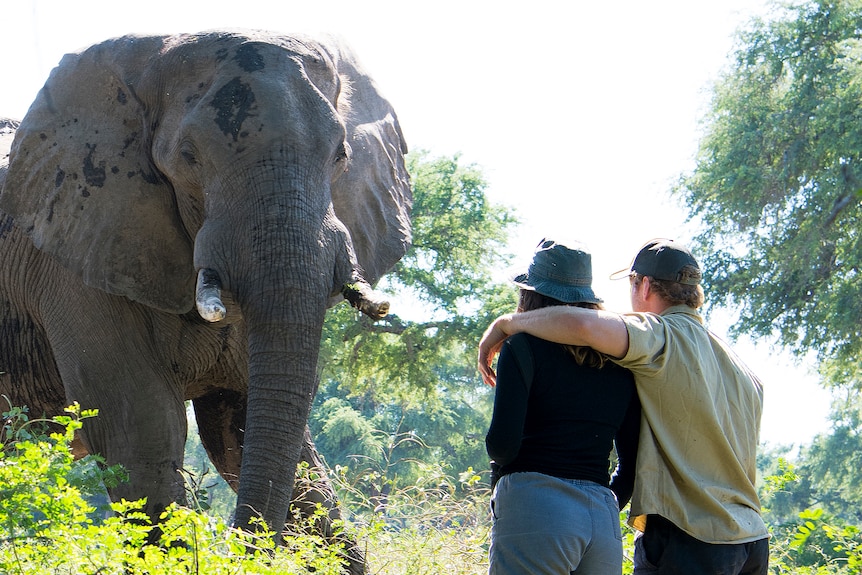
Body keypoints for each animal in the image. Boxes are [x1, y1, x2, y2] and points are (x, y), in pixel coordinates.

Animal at [0, 28, 412, 568]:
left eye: (341, 154)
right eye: (188, 157)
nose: (239, 543)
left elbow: (257, 437)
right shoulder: (76, 258)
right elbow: (142, 437)